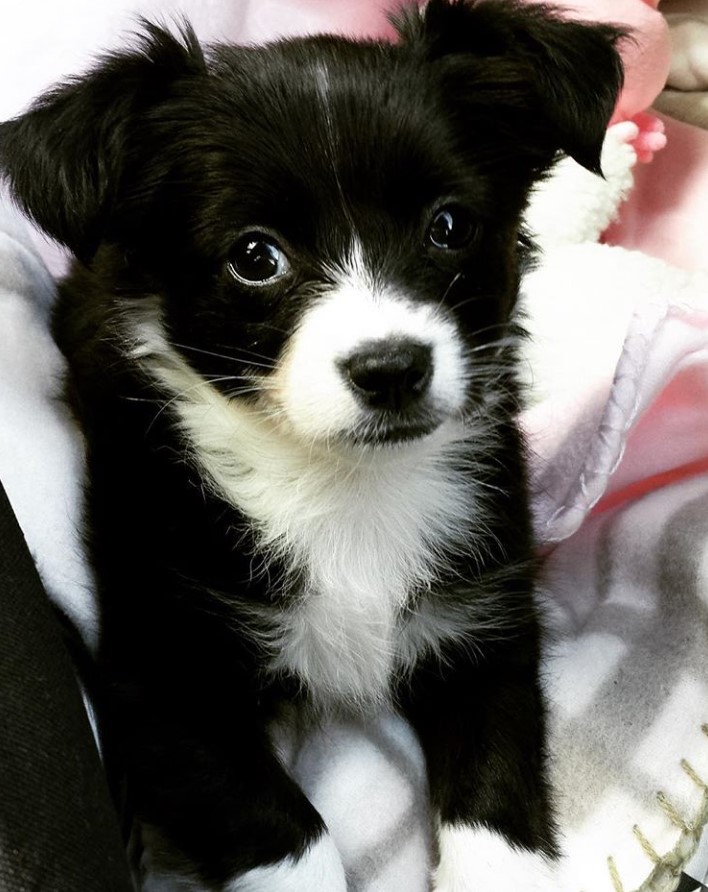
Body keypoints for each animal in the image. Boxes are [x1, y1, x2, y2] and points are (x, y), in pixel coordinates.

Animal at [0, 3, 620, 888]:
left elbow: (495, 784)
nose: (391, 369)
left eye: (449, 226)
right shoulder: (160, 680)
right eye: (255, 256)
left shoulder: (487, 615)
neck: (342, 480)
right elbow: (285, 831)